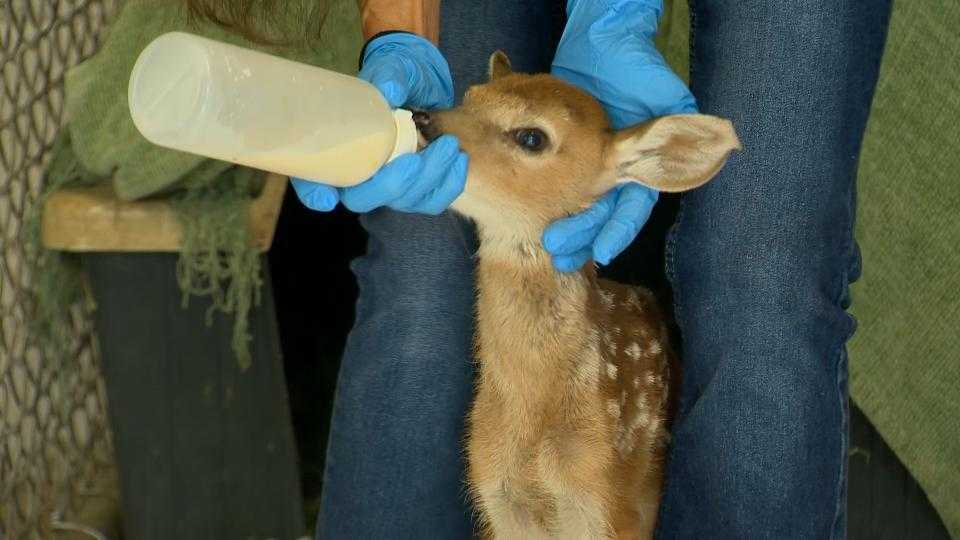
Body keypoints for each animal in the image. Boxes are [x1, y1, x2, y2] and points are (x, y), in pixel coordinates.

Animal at [414, 51, 744, 540]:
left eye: (532, 137)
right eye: (470, 95)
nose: (423, 118)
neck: (532, 412)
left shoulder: (605, 498)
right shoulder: (496, 492)